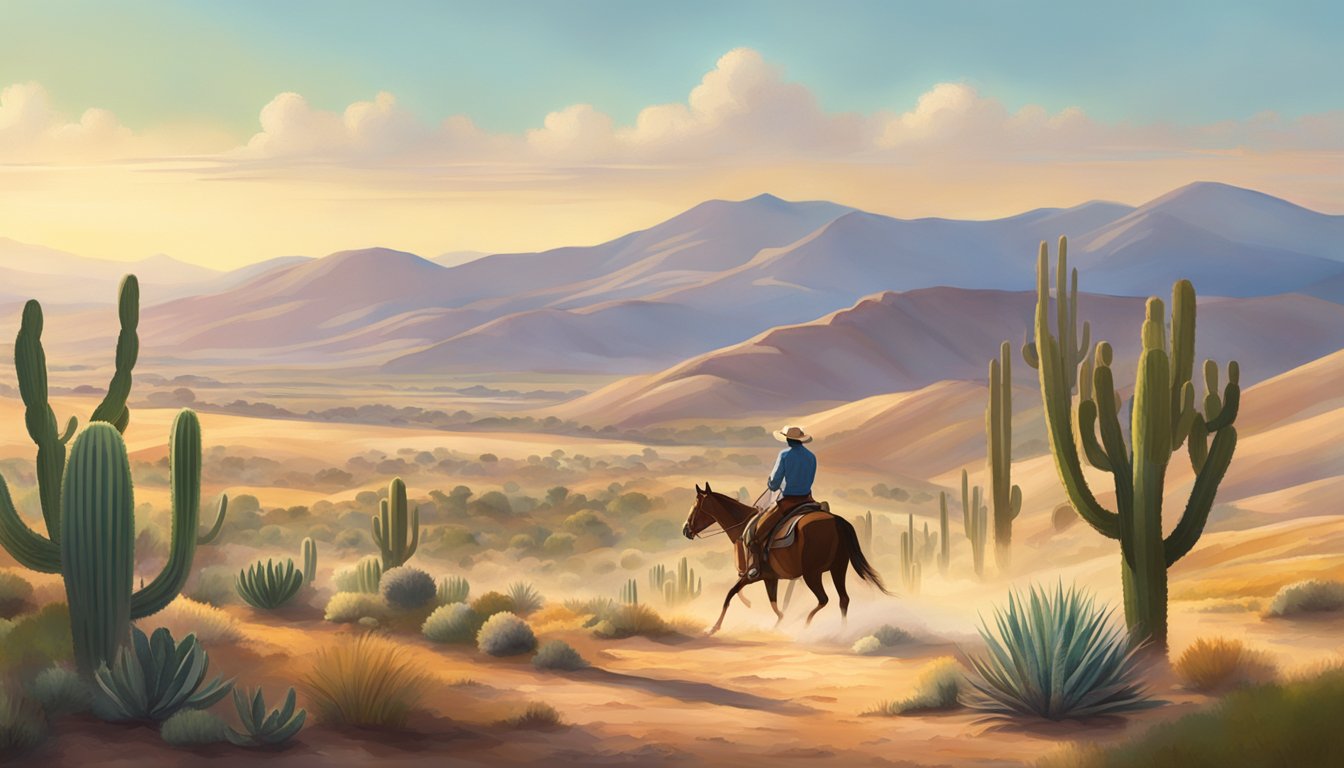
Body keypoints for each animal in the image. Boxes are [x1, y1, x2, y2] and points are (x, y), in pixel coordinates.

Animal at [682, 484, 892, 634]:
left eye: (695, 507)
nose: (685, 530)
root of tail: (836, 521)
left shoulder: (751, 575)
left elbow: (729, 595)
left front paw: (714, 627)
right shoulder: (770, 578)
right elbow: (774, 603)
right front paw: (778, 624)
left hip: (812, 574)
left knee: (823, 599)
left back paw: (806, 625)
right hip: (838, 568)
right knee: (844, 600)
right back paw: (842, 631)